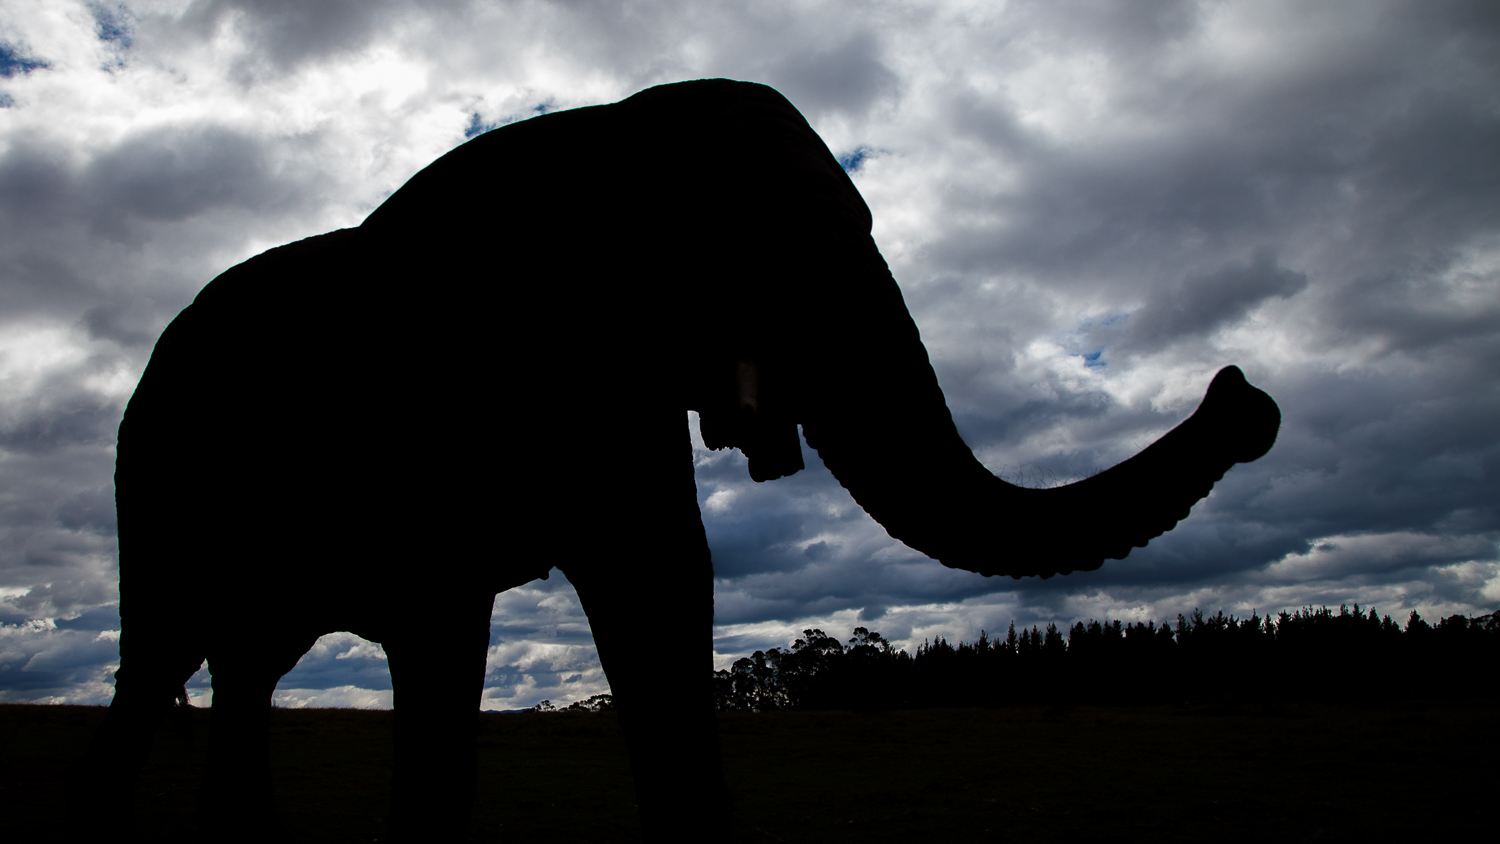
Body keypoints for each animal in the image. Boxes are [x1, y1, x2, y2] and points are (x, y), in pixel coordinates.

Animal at [73, 77, 1278, 839]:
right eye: (748, 250)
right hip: (152, 478)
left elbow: (657, 581)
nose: (1248, 399)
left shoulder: (620, 390)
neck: (609, 131)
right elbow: (445, 623)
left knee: (246, 665)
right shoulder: (437, 389)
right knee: (160, 658)